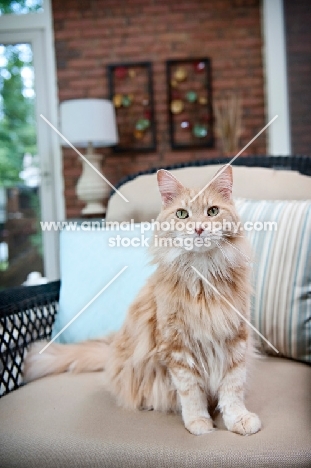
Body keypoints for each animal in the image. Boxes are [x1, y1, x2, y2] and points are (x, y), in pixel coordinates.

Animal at [24, 165, 262, 436]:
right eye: (182, 214)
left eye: (212, 211)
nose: (199, 229)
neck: (203, 276)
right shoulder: (177, 346)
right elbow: (191, 391)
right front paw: (199, 422)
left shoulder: (236, 338)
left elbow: (232, 388)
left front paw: (238, 418)